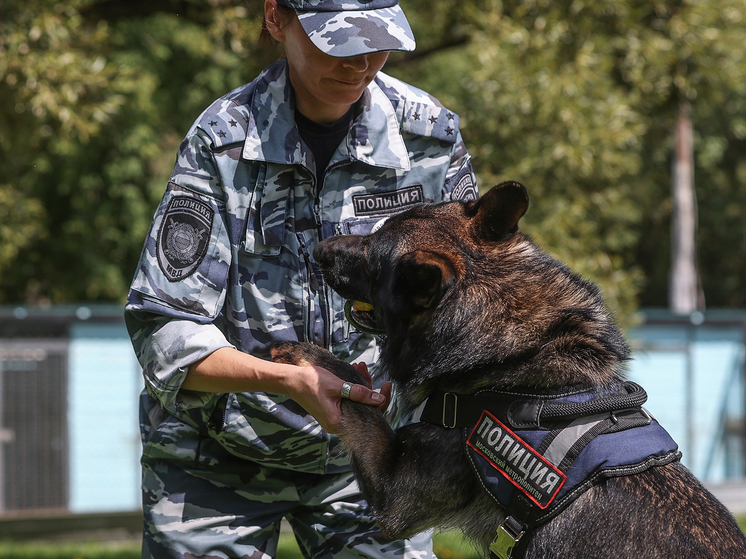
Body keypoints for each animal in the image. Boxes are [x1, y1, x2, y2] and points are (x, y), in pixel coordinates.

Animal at [270, 182, 744, 556]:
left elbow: (360, 404)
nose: (318, 250)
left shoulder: (393, 498)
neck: (509, 355)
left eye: (372, 257)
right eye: (375, 230)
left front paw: (307, 356)